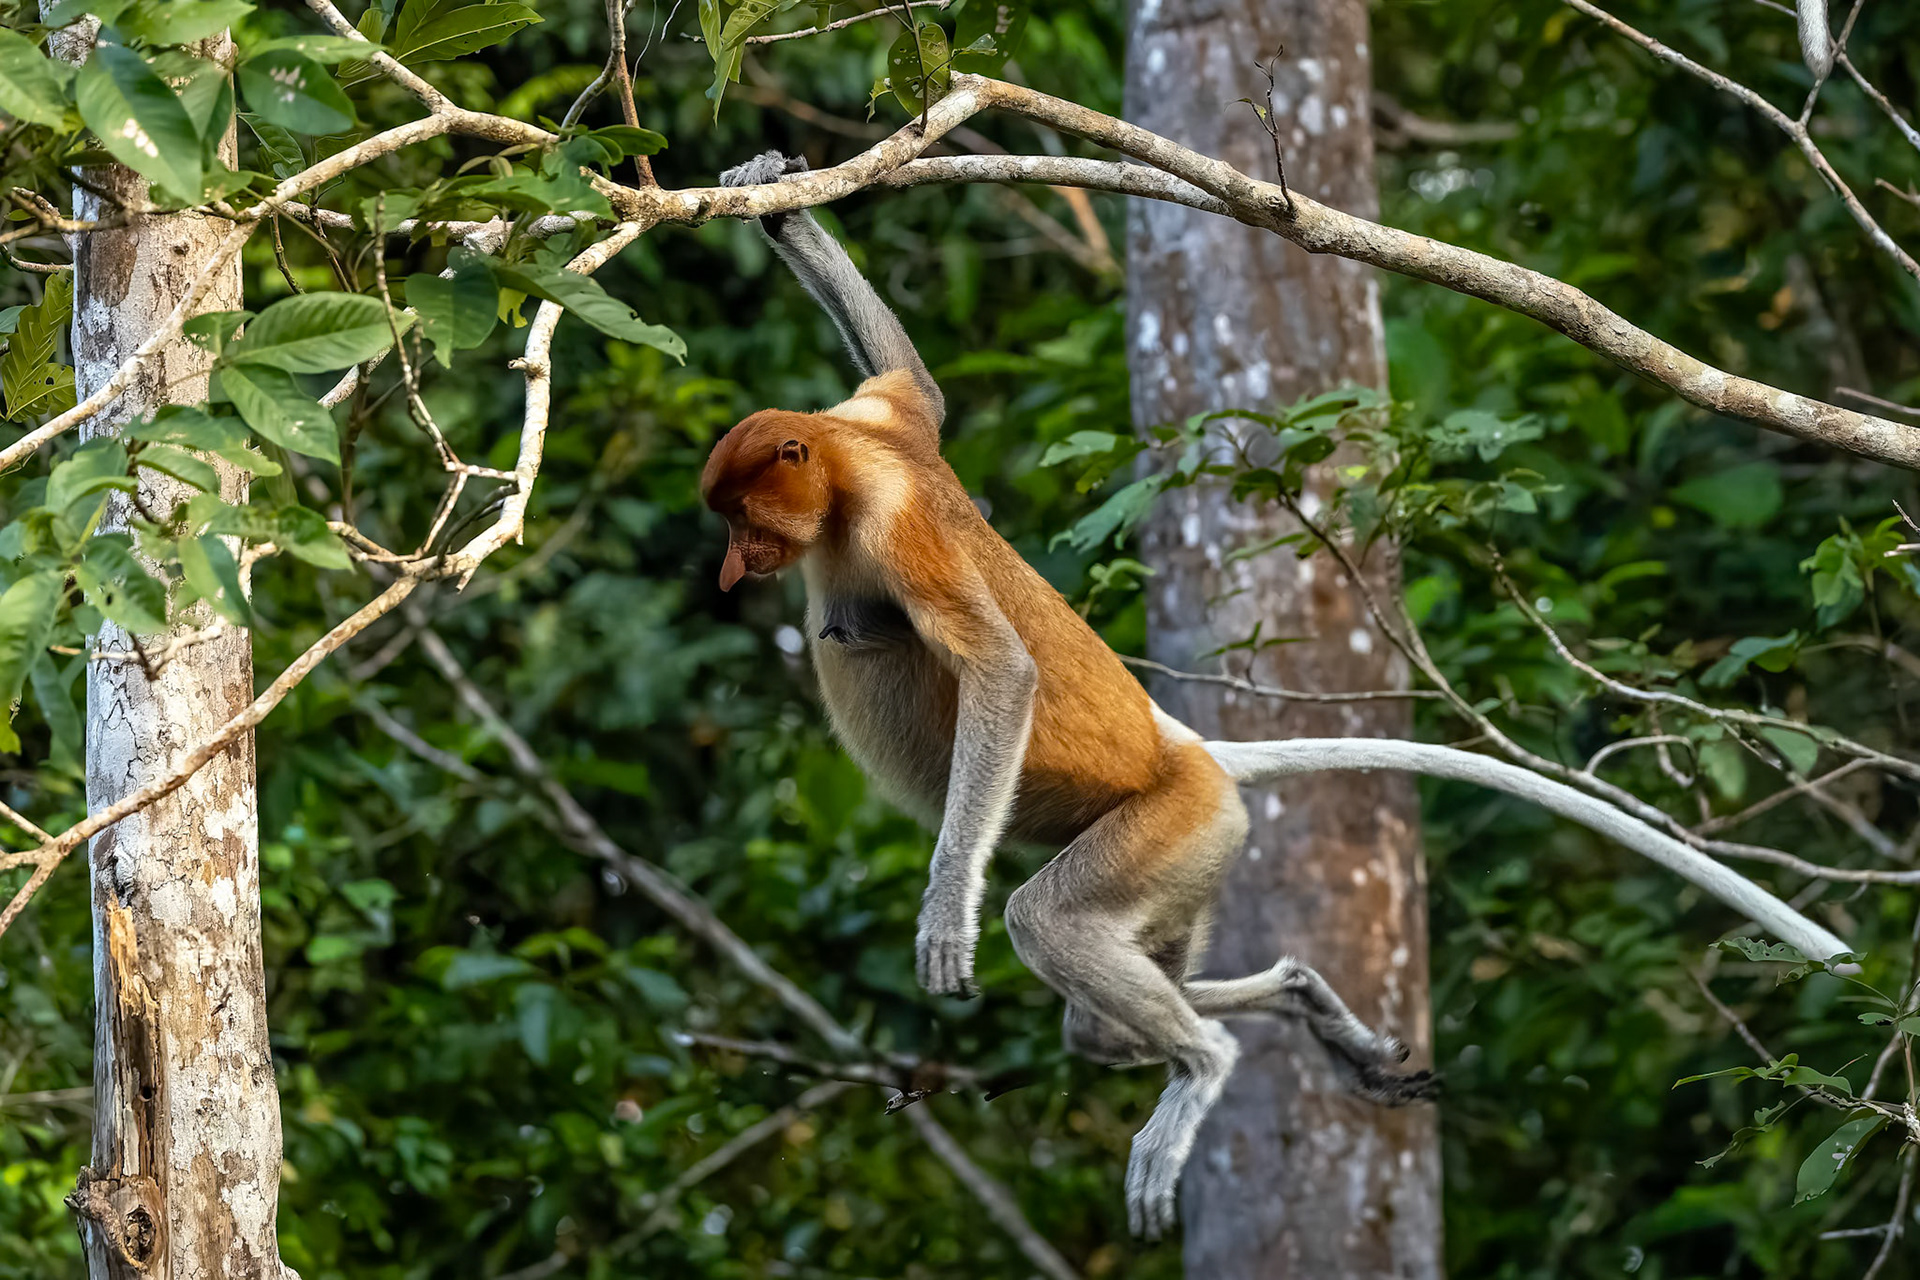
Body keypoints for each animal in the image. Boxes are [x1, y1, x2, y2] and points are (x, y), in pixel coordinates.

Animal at [702, 150, 1434, 1238]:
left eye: (745, 517)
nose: (730, 566)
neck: (847, 475)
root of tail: (1188, 751)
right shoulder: (877, 417)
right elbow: (918, 383)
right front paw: (771, 195)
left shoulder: (894, 525)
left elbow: (1002, 671)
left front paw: (946, 913)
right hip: (1190, 866)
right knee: (1104, 1024)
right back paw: (1305, 1003)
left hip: (1174, 826)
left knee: (1052, 924)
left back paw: (1203, 1065)